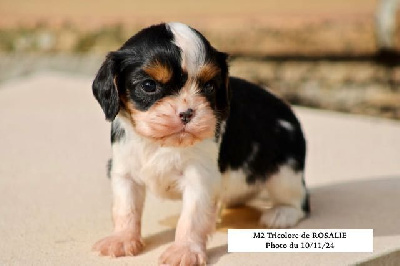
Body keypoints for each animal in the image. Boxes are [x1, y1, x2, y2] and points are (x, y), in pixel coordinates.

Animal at [91, 21, 310, 264]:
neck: (162, 143)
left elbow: (191, 218)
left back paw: (282, 213)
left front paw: (184, 250)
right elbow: (125, 208)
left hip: (284, 174)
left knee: (300, 201)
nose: (187, 113)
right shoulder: (124, 172)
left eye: (209, 87)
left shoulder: (199, 179)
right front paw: (121, 239)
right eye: (149, 86)